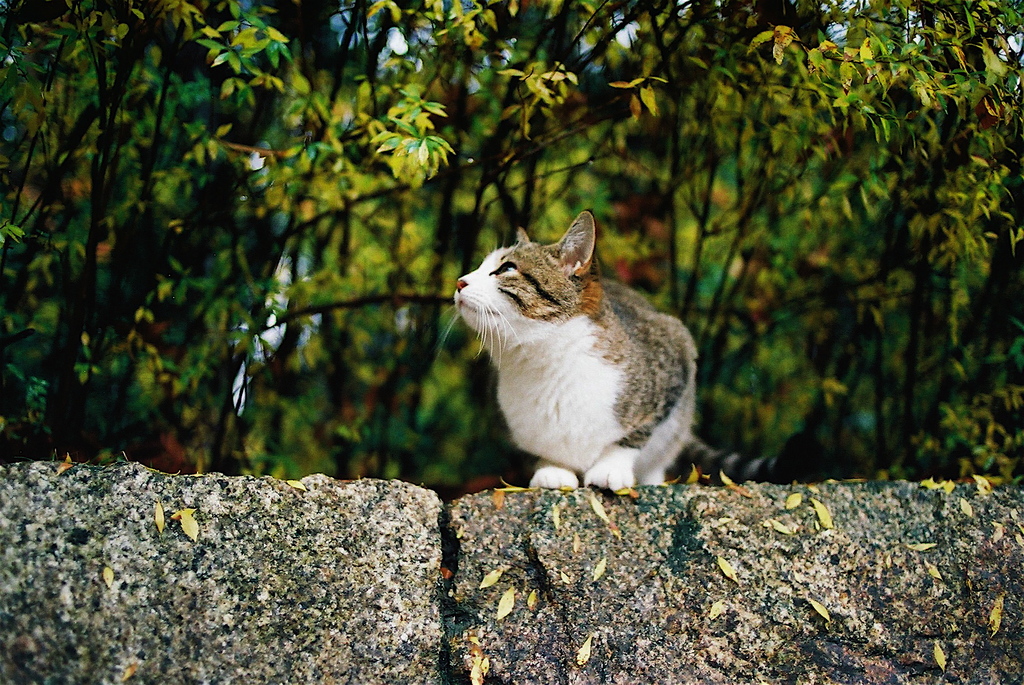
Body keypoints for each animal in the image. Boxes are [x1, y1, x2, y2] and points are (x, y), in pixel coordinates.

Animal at [456, 210, 712, 489]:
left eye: (507, 268)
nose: (460, 282)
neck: (547, 364)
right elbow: (543, 449)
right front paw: (554, 469)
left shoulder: (676, 350)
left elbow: (633, 437)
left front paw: (611, 467)